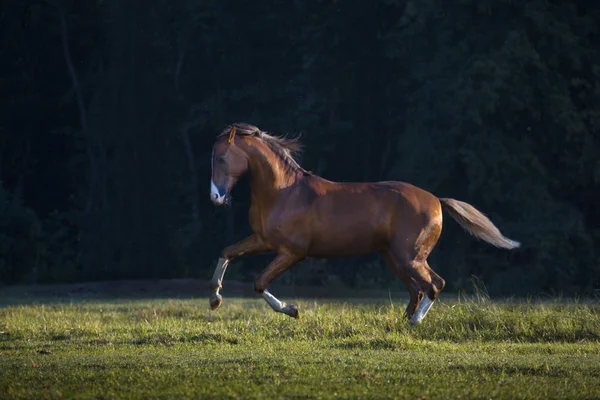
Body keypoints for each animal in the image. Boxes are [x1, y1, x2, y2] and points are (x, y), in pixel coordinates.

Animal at [209, 122, 516, 324]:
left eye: (222, 158)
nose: (215, 197)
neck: (282, 192)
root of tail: (437, 200)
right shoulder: (262, 241)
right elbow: (226, 253)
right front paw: (215, 299)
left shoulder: (292, 252)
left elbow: (259, 282)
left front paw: (293, 310)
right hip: (393, 257)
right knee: (417, 289)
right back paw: (403, 324)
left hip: (410, 257)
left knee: (434, 284)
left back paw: (414, 322)